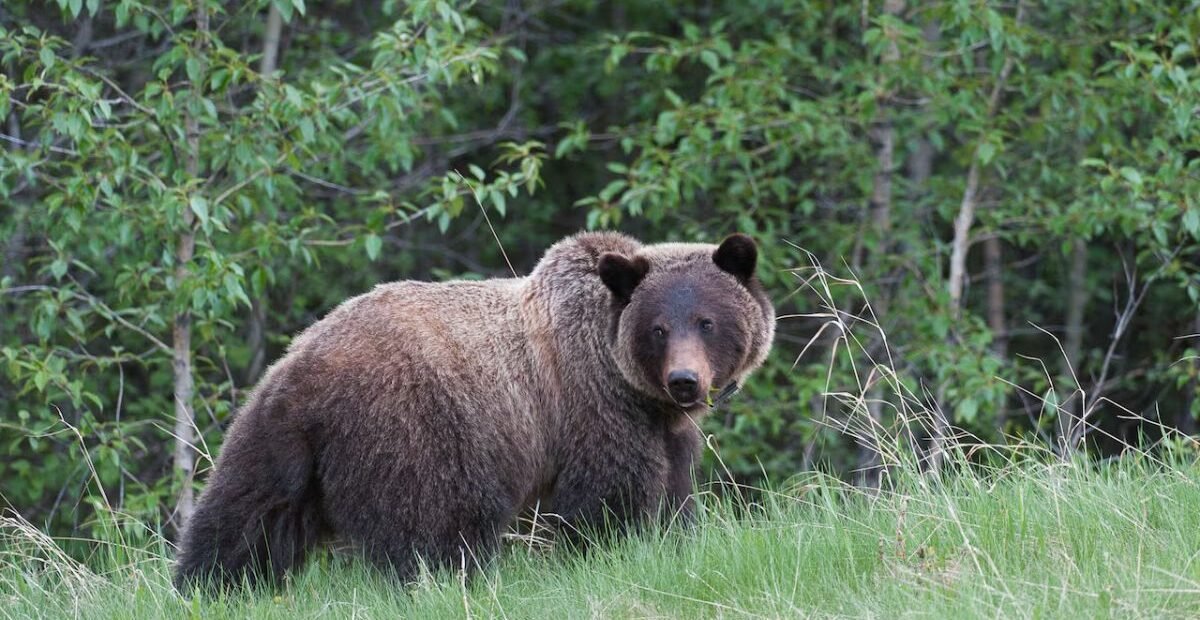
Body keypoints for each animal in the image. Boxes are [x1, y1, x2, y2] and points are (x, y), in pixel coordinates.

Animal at [173, 231, 775, 591]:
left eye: (706, 321)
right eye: (659, 328)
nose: (685, 381)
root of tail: (305, 378)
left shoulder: (662, 426)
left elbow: (675, 490)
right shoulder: (592, 408)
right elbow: (610, 496)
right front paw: (613, 551)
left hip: (271, 435)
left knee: (245, 514)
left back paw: (208, 585)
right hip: (417, 426)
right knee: (438, 527)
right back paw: (451, 581)